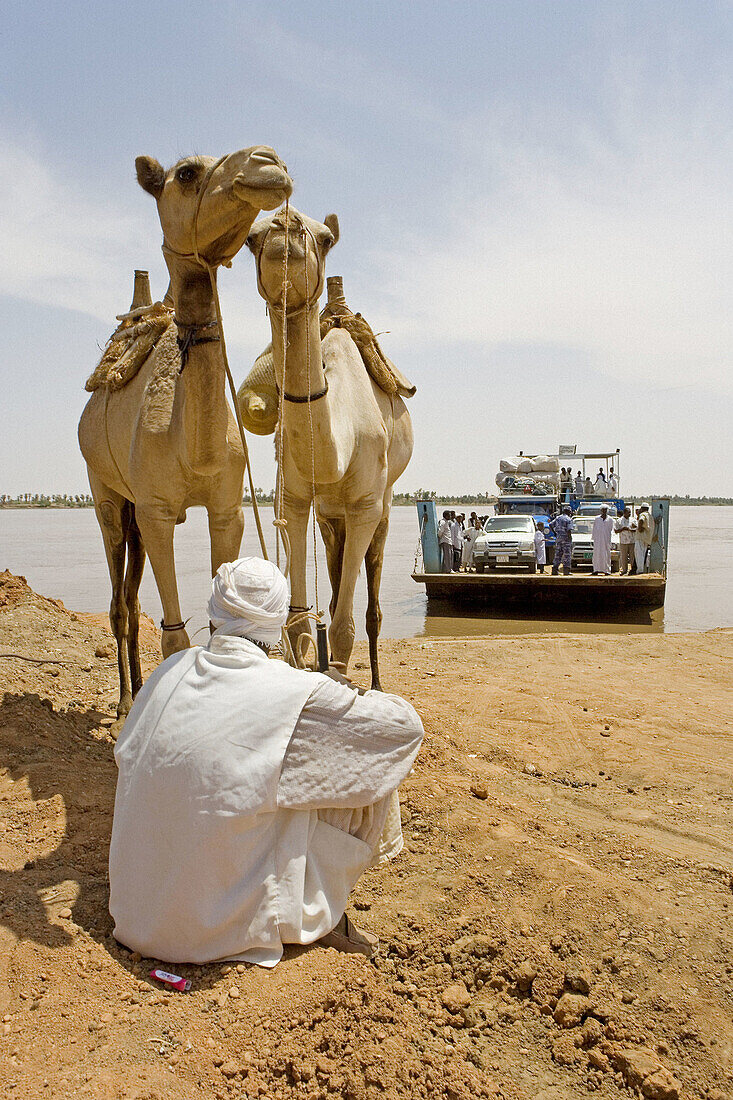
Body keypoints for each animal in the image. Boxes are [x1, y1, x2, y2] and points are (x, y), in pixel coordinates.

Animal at [79, 148, 290, 730]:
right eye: (187, 174)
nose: (267, 162)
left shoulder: (225, 507)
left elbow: (222, 621)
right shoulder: (155, 507)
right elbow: (172, 637)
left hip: (133, 506)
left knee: (129, 595)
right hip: (106, 492)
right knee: (120, 601)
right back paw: (123, 702)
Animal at [239, 206, 411, 686]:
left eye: (326, 237)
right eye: (250, 238)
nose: (285, 225)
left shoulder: (367, 504)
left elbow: (345, 622)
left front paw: (349, 676)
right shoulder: (295, 501)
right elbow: (301, 619)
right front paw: (309, 659)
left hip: (384, 505)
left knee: (369, 605)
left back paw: (374, 679)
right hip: (331, 517)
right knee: (333, 582)